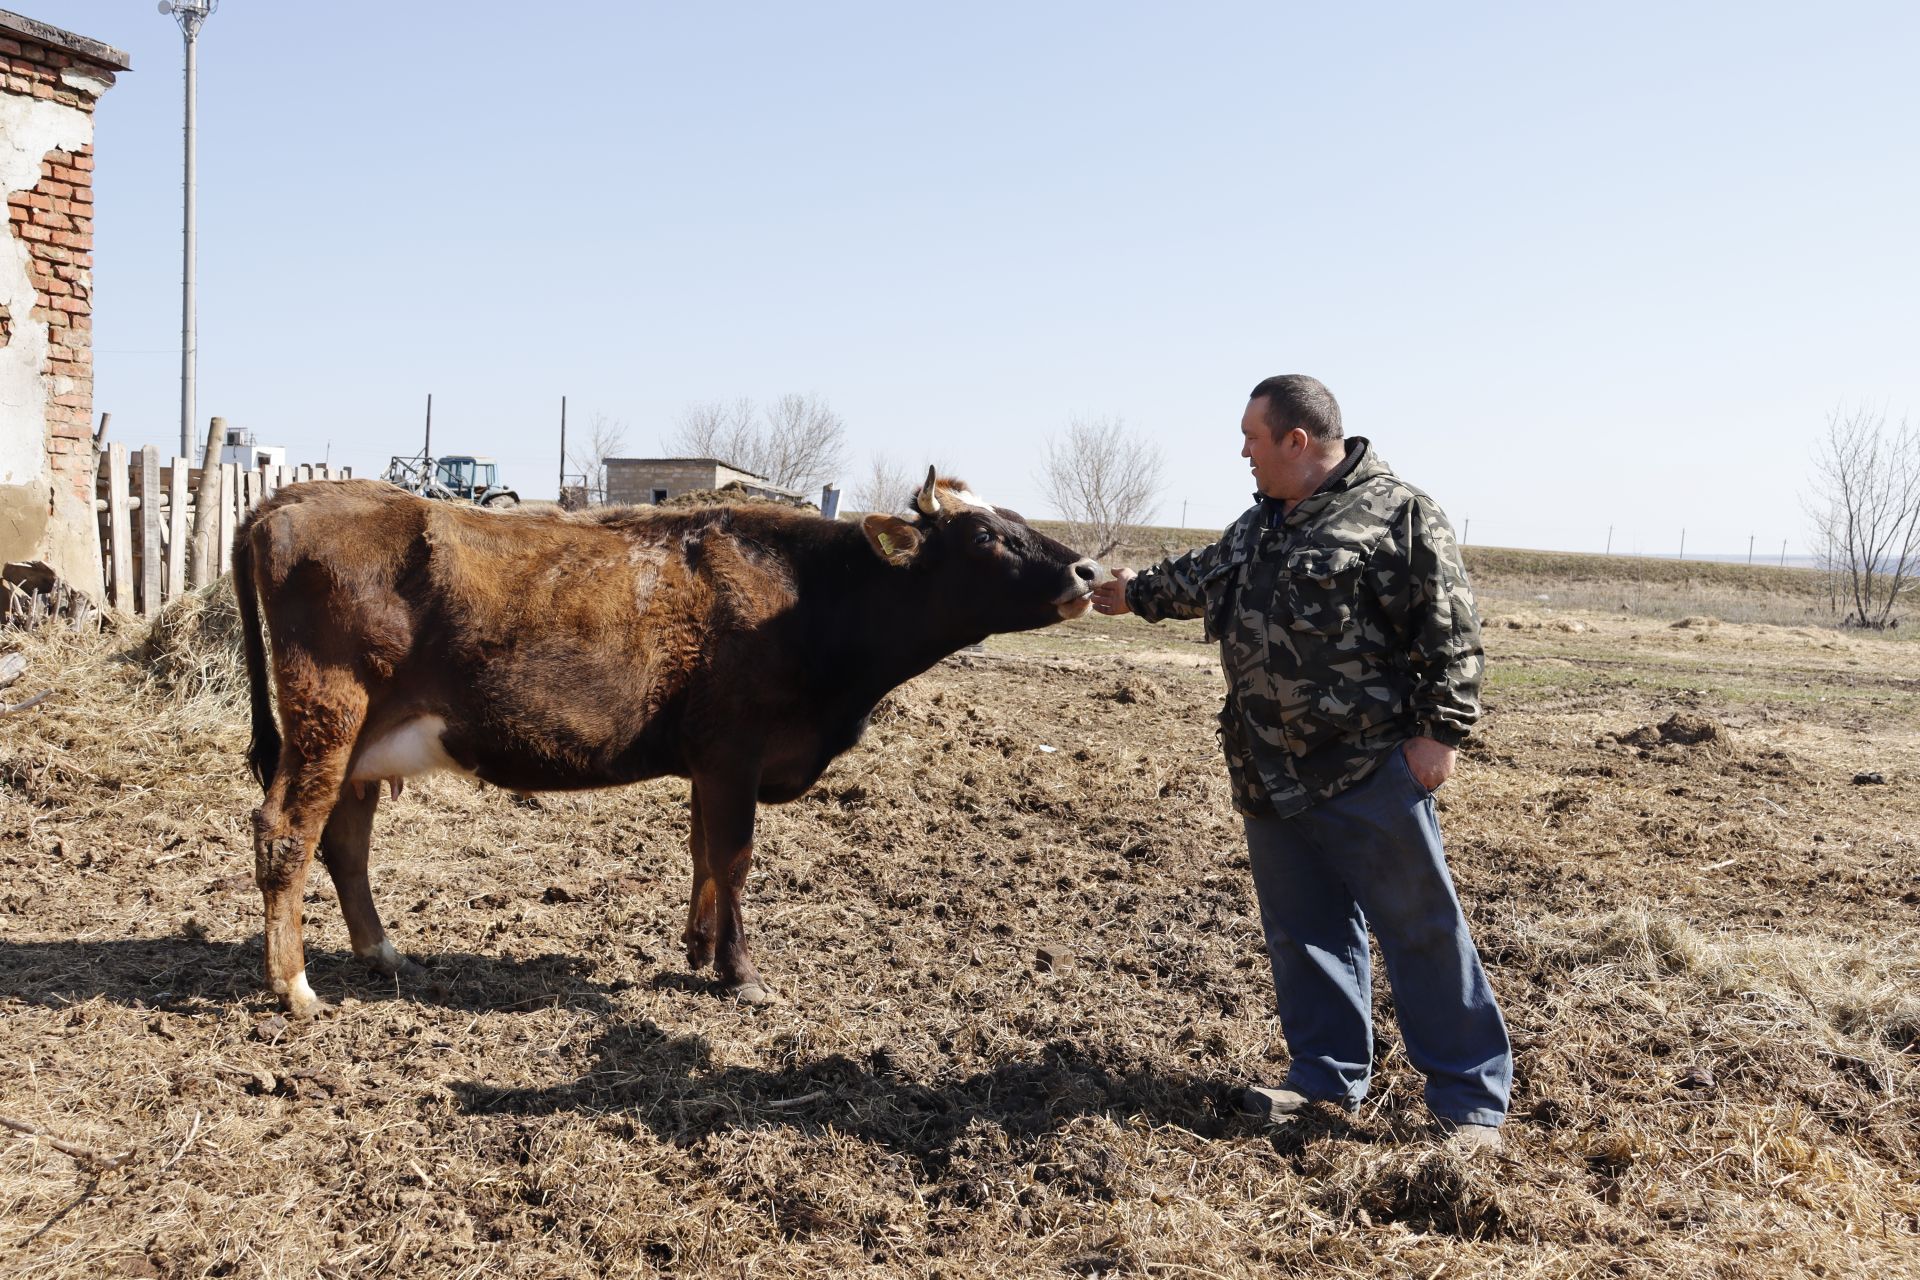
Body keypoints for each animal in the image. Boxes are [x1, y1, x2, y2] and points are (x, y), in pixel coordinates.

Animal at [230, 466, 1098, 1013]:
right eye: (983, 535)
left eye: (1020, 520)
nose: (1089, 571)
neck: (810, 596)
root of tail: (293, 496)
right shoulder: (734, 755)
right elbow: (735, 857)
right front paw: (740, 972)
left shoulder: (708, 764)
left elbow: (703, 854)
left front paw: (698, 947)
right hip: (328, 717)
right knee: (286, 832)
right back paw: (294, 987)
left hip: (363, 745)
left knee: (344, 841)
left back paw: (379, 951)